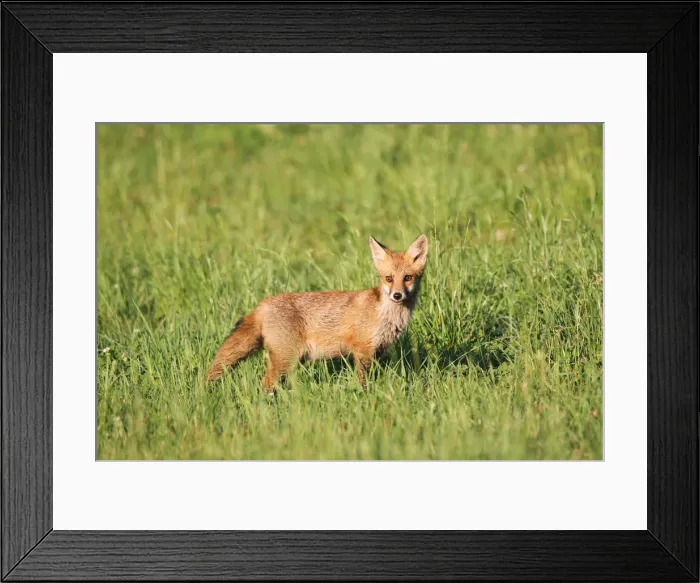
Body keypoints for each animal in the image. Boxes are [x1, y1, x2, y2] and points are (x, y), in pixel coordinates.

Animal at [205, 234, 428, 392]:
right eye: (389, 278)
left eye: (408, 277)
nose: (397, 295)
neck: (386, 315)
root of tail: (264, 303)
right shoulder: (362, 351)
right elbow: (363, 382)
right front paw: (366, 396)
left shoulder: (378, 351)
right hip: (286, 359)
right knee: (265, 385)